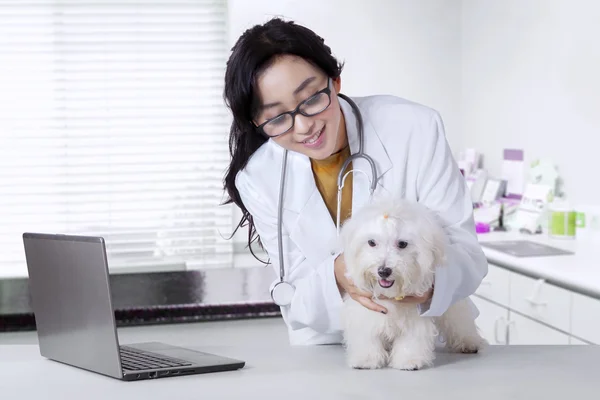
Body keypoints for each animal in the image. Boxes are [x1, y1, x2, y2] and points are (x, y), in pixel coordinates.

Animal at [340, 198, 486, 370]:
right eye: (371, 242)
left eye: (402, 244)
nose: (384, 271)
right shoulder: (364, 312)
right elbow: (367, 336)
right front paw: (366, 359)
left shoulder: (415, 317)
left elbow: (412, 338)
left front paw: (409, 360)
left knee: (459, 320)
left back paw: (468, 342)